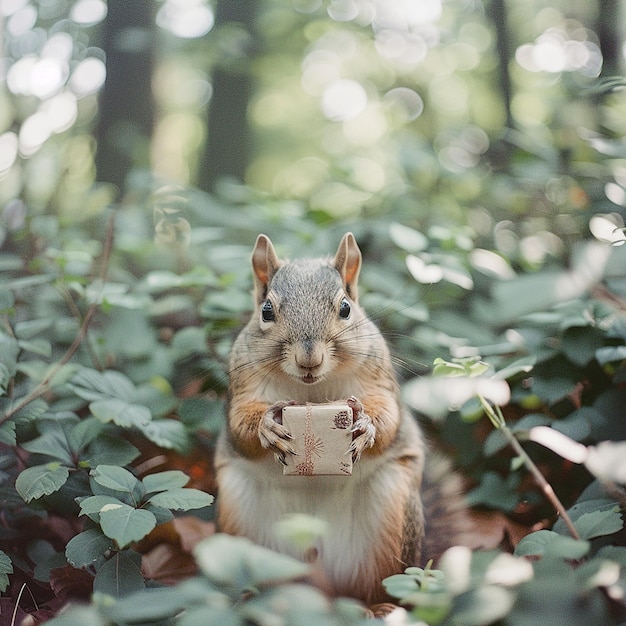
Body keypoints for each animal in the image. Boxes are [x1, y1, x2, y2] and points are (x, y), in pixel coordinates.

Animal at [212, 230, 466, 604]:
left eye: (346, 308)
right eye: (266, 310)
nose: (309, 359)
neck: (313, 391)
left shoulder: (378, 377)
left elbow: (388, 415)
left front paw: (365, 426)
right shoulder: (243, 385)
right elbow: (239, 424)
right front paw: (267, 427)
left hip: (391, 516)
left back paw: (379, 608)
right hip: (240, 523)